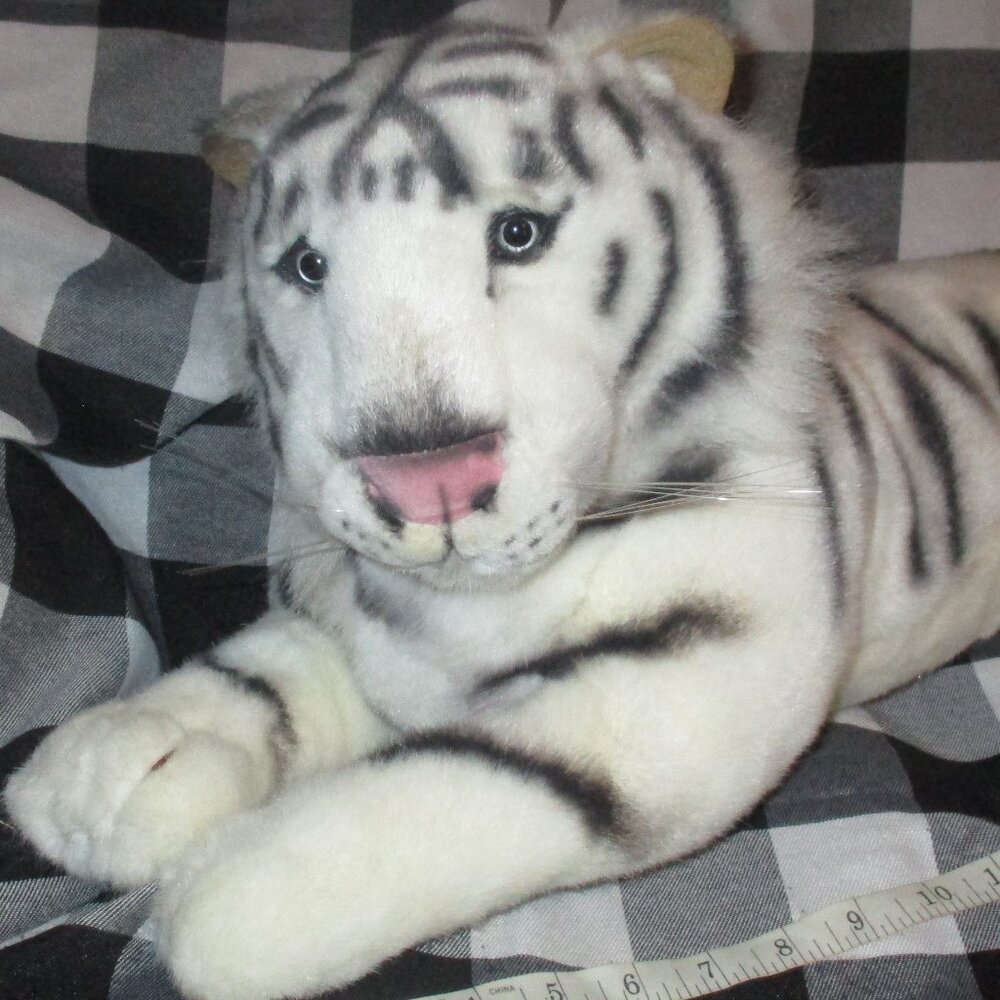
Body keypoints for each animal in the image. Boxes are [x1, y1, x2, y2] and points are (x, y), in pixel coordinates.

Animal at [6, 13, 1000, 1000]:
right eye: (309, 266)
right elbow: (263, 678)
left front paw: (226, 894)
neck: (462, 615)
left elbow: (465, 788)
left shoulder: (690, 682)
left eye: (517, 234)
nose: (428, 483)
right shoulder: (369, 624)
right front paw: (116, 767)